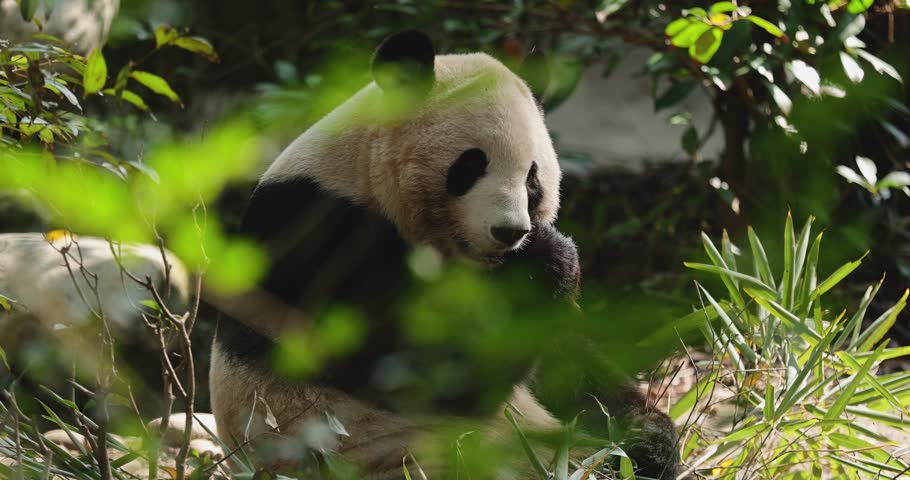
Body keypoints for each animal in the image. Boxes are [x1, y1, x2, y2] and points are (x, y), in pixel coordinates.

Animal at [210, 31, 677, 479]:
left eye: (532, 177)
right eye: (471, 165)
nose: (509, 232)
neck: (363, 176)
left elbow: (560, 355)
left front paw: (646, 429)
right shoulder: (324, 236)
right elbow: (422, 372)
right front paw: (547, 256)